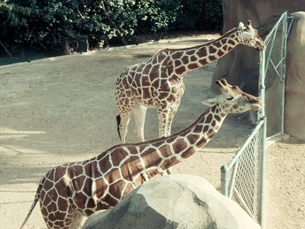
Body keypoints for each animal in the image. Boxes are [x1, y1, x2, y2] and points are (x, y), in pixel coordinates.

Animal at [20, 78, 262, 229]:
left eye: (240, 90)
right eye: (229, 98)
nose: (257, 101)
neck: (145, 162)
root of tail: (40, 187)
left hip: (75, 215)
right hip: (56, 217)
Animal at [115, 20, 264, 143]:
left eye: (257, 33)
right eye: (251, 36)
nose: (263, 45)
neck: (179, 69)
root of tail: (118, 78)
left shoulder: (175, 103)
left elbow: (168, 134)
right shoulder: (163, 105)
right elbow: (162, 135)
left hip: (140, 105)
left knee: (138, 131)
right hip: (124, 104)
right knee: (123, 128)